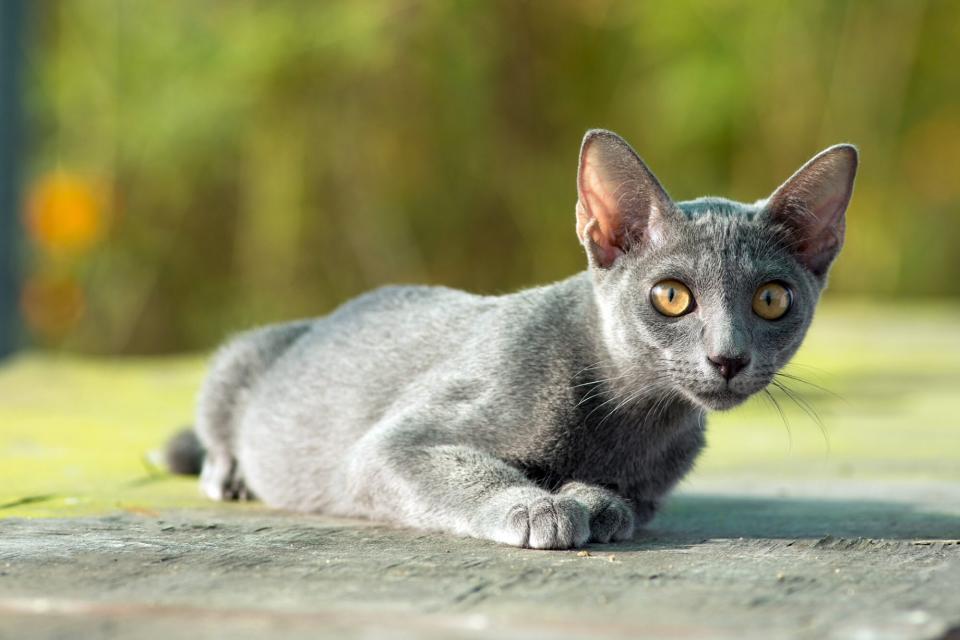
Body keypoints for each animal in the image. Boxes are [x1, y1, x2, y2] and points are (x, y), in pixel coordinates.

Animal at [167, 131, 864, 552]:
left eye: (771, 299)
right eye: (671, 296)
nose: (727, 357)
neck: (630, 414)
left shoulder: (651, 487)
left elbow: (625, 500)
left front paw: (594, 503)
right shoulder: (391, 445)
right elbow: (461, 467)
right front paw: (537, 506)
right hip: (240, 358)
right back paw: (226, 473)